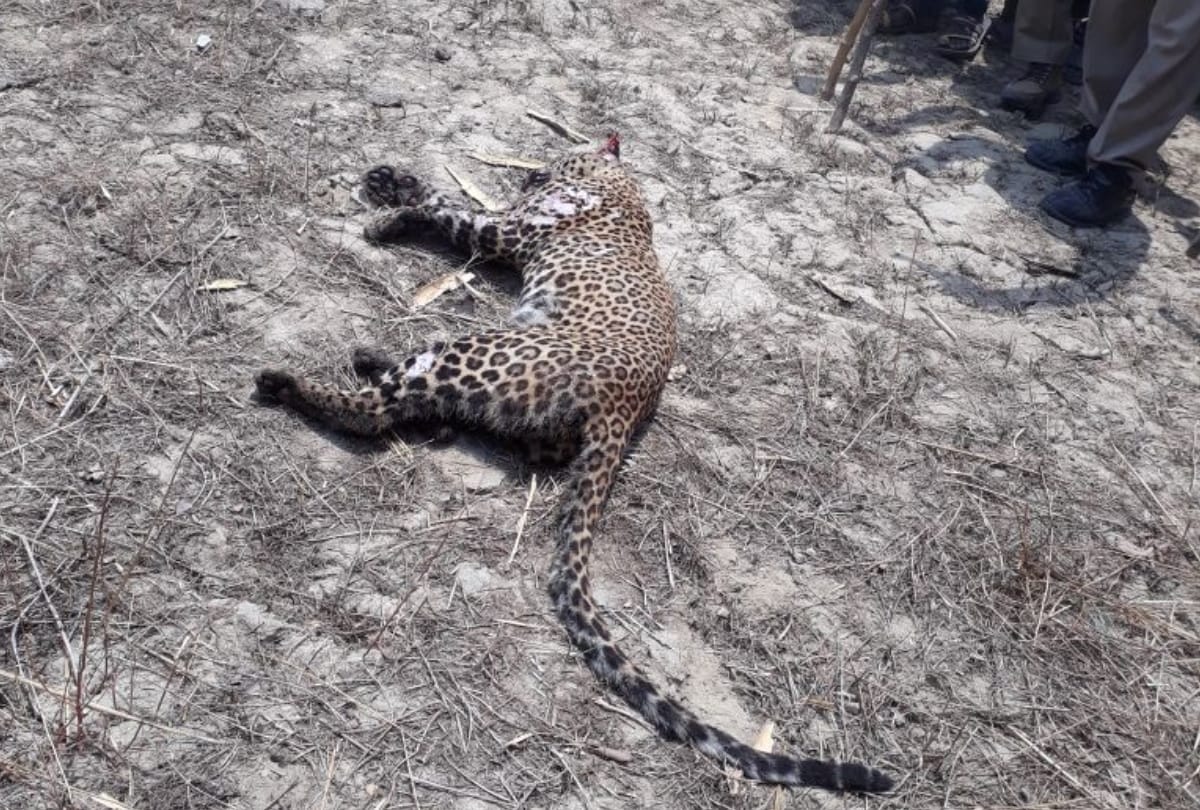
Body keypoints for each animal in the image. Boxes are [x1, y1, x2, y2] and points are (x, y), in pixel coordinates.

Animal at [253, 133, 893, 794]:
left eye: (555, 157)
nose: (531, 171)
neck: (619, 185)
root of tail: (623, 412)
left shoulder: (501, 230)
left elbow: (447, 205)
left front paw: (388, 213)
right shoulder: (505, 226)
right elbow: (441, 196)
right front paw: (389, 185)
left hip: (479, 349)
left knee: (378, 411)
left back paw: (289, 383)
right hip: (498, 388)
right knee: (434, 407)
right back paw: (371, 360)